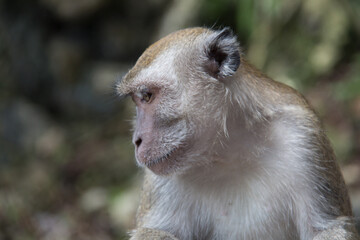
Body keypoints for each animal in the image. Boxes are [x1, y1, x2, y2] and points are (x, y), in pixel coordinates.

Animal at [116, 27, 358, 240]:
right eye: (138, 99)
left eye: (147, 96)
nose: (136, 140)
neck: (228, 150)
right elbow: (155, 231)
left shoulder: (304, 137)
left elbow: (328, 228)